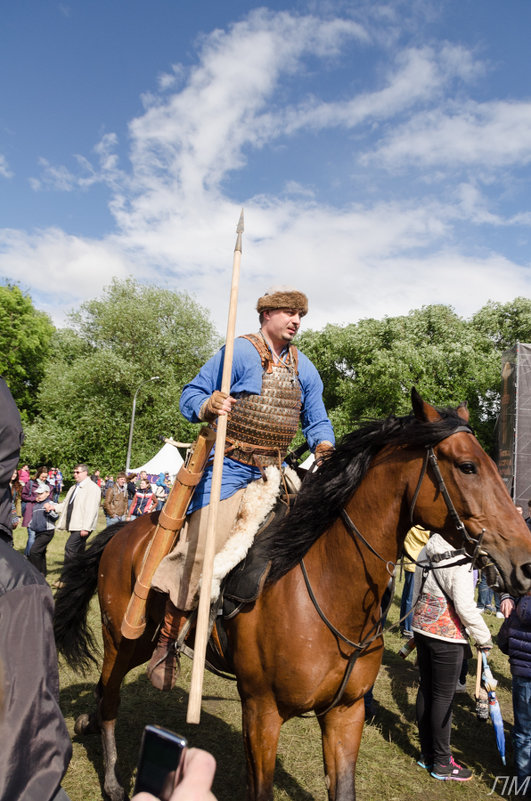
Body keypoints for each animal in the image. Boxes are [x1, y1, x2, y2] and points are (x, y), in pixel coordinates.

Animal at [55, 392, 531, 800]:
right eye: (467, 466)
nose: (524, 565)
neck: (330, 585)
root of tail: (124, 530)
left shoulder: (346, 713)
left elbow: (343, 788)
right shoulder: (261, 712)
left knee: (105, 688)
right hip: (123, 636)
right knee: (110, 695)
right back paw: (112, 778)